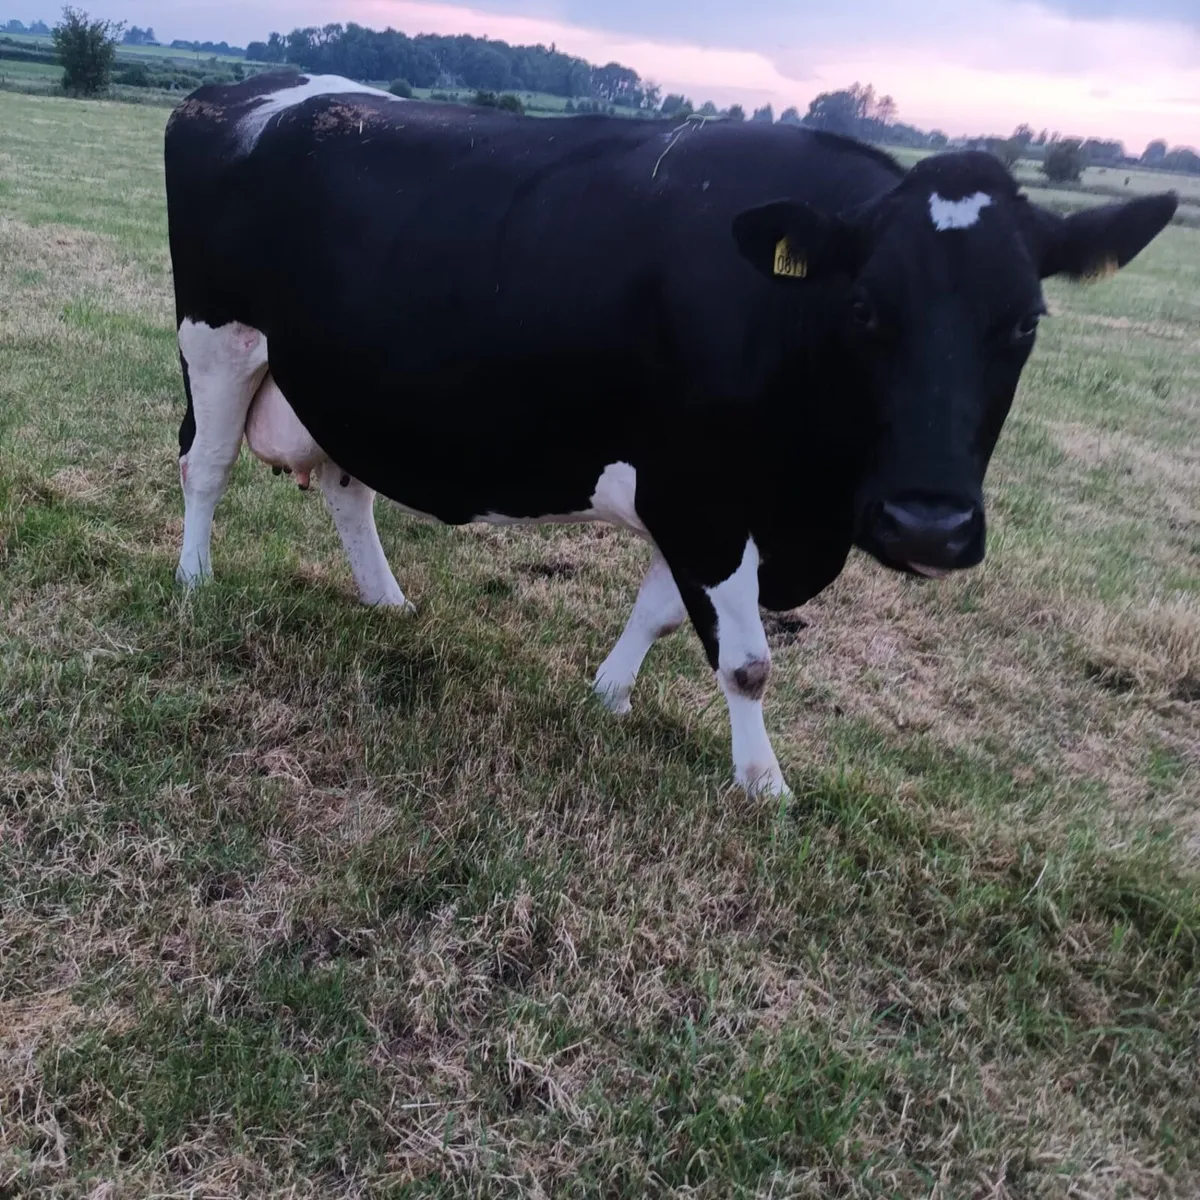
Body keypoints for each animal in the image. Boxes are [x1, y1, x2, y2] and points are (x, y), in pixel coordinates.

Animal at [164, 73, 1177, 796]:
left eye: (1026, 322)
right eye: (864, 308)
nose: (930, 524)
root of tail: (247, 92)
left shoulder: (704, 497)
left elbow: (661, 609)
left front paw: (608, 695)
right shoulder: (703, 492)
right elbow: (748, 661)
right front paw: (763, 783)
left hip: (334, 384)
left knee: (346, 485)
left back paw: (386, 600)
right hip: (219, 340)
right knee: (204, 465)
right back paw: (194, 580)